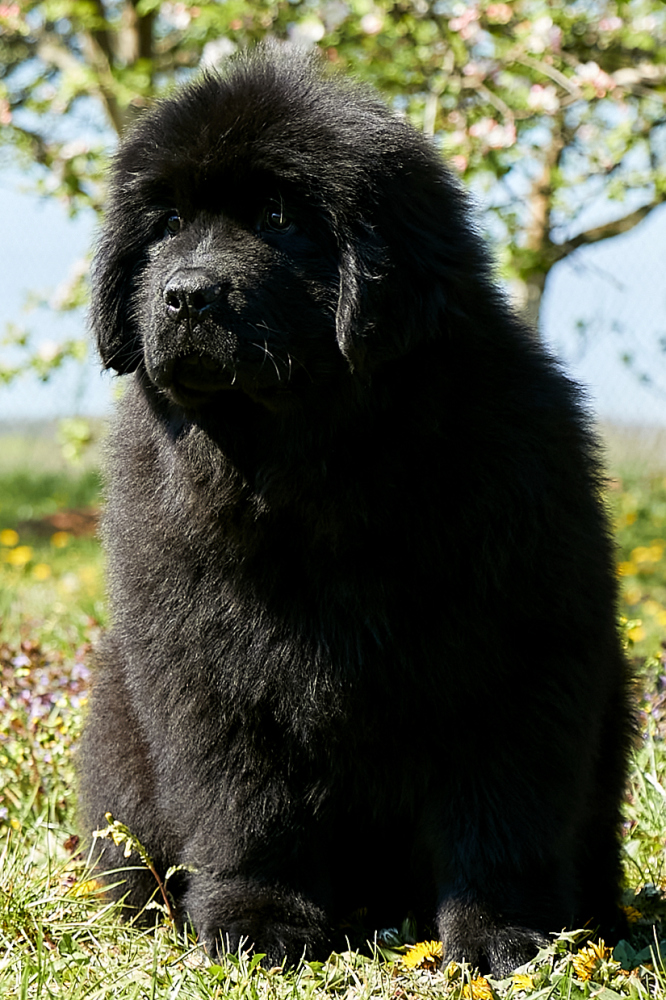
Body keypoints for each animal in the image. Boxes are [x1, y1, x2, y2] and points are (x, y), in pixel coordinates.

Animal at [79, 46, 631, 977]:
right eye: (168, 224)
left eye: (276, 217)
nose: (186, 296)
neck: (308, 469)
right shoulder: (206, 666)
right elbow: (244, 801)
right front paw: (256, 921)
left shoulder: (514, 643)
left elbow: (502, 805)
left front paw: (502, 936)